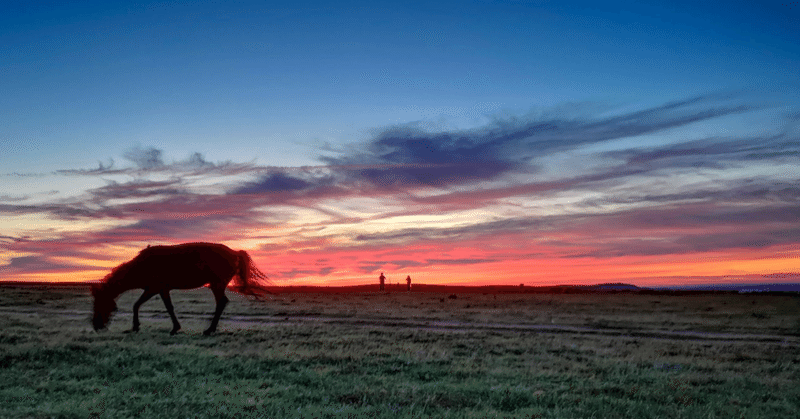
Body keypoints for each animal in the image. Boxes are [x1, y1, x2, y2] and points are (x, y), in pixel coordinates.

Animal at [91, 241, 272, 336]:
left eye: (100, 304)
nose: (96, 326)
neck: (142, 265)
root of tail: (234, 252)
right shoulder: (160, 289)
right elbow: (166, 307)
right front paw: (174, 327)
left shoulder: (154, 289)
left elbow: (139, 305)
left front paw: (136, 326)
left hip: (217, 285)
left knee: (221, 303)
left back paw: (210, 330)